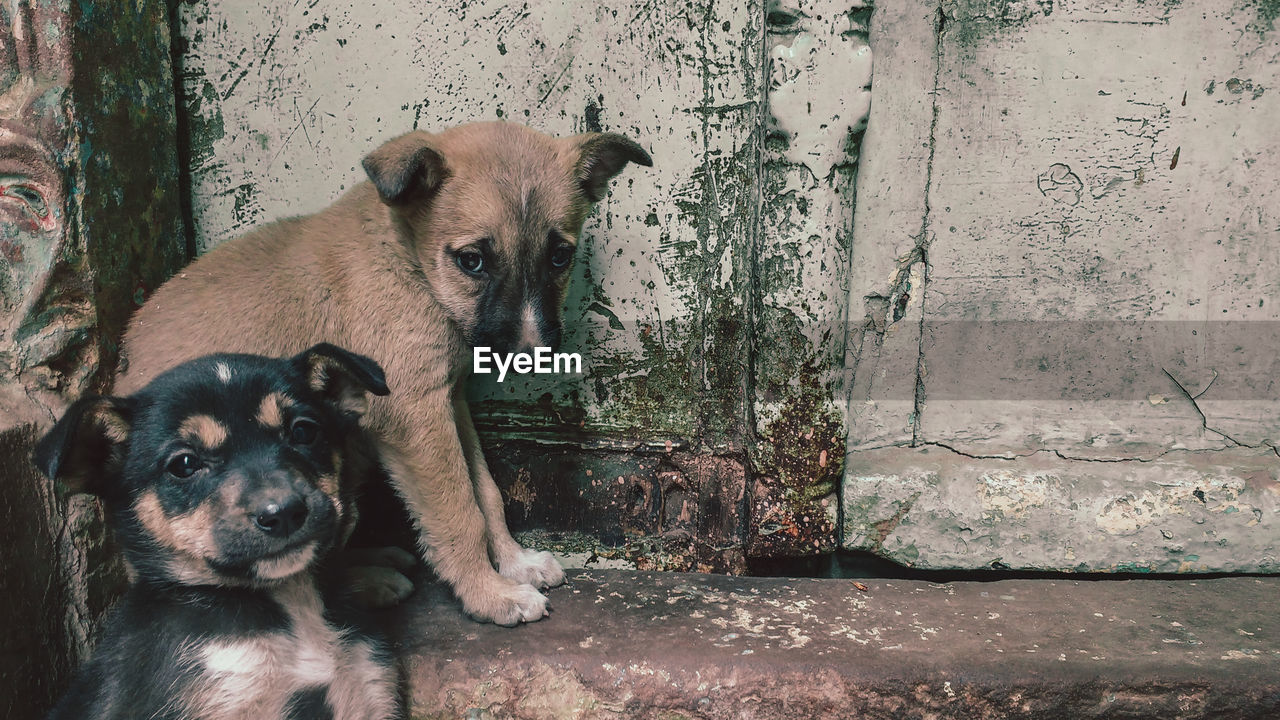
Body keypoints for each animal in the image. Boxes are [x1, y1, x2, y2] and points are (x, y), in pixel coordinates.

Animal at [116, 119, 650, 622]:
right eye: (472, 261)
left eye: (559, 256)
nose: (532, 350)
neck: (407, 258)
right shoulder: (415, 417)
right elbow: (459, 512)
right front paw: (489, 595)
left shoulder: (448, 402)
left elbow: (486, 493)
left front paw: (516, 563)